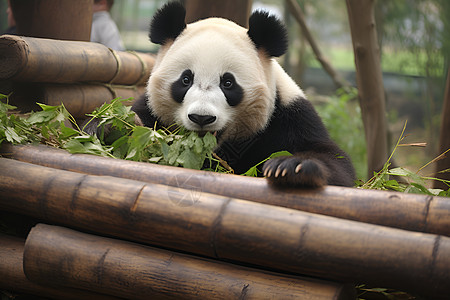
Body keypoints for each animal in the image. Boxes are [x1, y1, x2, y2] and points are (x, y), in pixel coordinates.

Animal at [130, 1, 356, 188]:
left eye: (228, 83)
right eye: (186, 80)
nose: (201, 118)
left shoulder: (290, 117)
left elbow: (334, 161)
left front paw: (292, 167)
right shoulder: (150, 109)